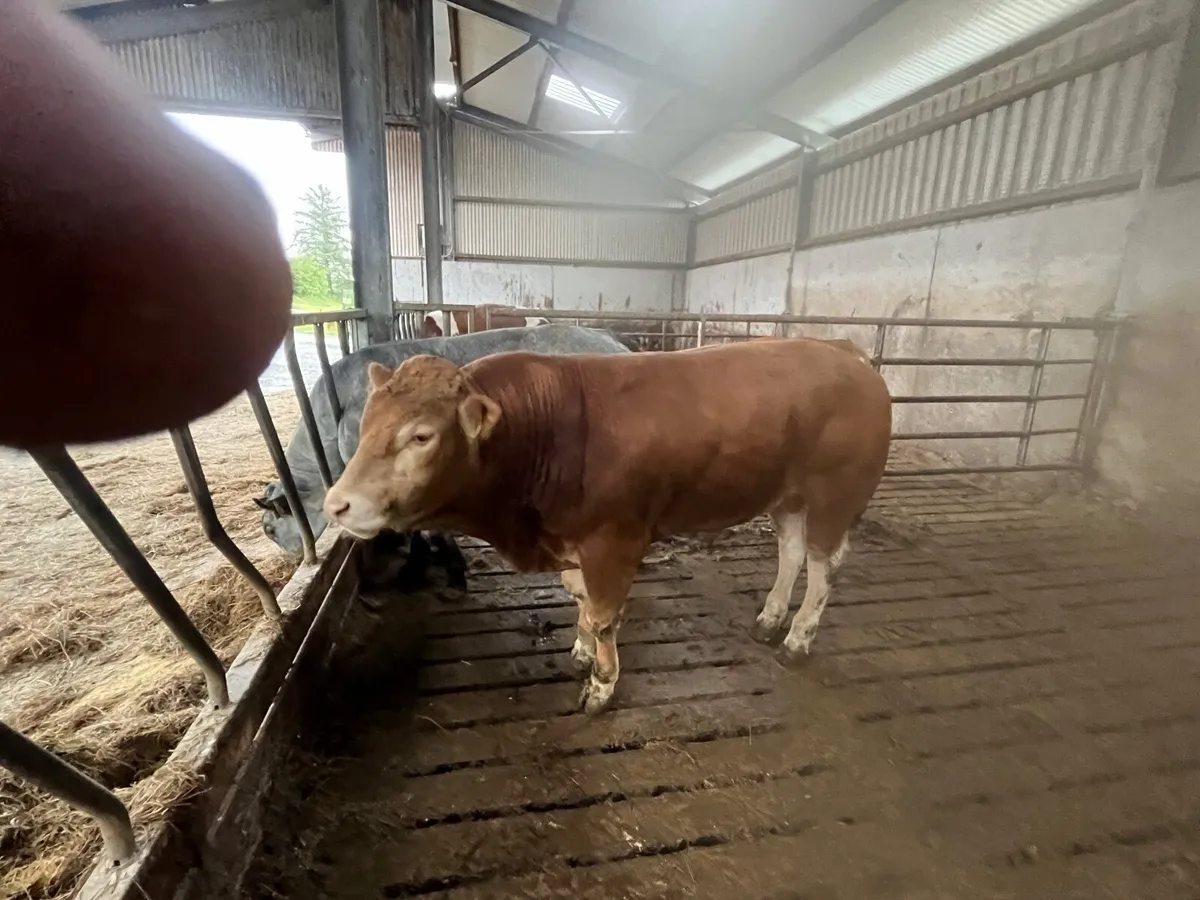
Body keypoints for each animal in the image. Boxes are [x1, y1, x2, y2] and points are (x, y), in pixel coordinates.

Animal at [321, 336, 892, 714]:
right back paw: (771, 619)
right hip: (787, 498)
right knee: (791, 553)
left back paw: (798, 639)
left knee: (822, 567)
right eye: (365, 423)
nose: (336, 505)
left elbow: (602, 616)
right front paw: (579, 652)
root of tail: (845, 351)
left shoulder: (612, 542)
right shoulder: (570, 540)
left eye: (421, 436)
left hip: (834, 497)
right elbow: (579, 600)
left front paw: (601, 682)